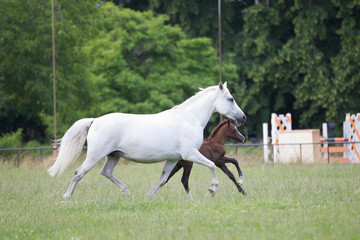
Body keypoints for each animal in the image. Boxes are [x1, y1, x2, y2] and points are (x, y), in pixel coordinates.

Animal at [47, 81, 246, 198]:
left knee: (106, 172)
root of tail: (95, 120)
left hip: (114, 155)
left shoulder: (173, 159)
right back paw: (66, 198)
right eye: (231, 98)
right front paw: (212, 188)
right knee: (78, 173)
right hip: (95, 155)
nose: (243, 117)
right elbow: (212, 166)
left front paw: (149, 197)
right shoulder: (190, 154)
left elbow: (162, 180)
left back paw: (126, 192)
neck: (189, 119)